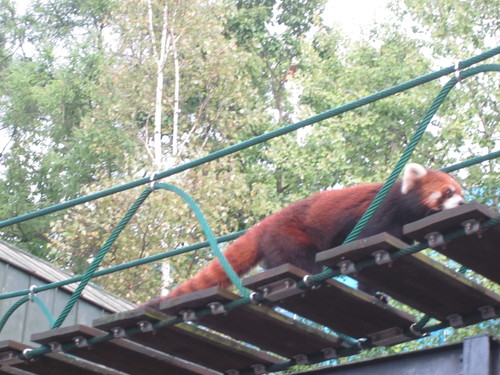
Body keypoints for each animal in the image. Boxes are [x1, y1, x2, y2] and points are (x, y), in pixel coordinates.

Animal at [144, 163, 464, 306]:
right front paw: (372, 292)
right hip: (290, 237)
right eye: (448, 192)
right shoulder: (380, 215)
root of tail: (264, 224)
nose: (462, 203)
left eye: (461, 192)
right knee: (302, 261)